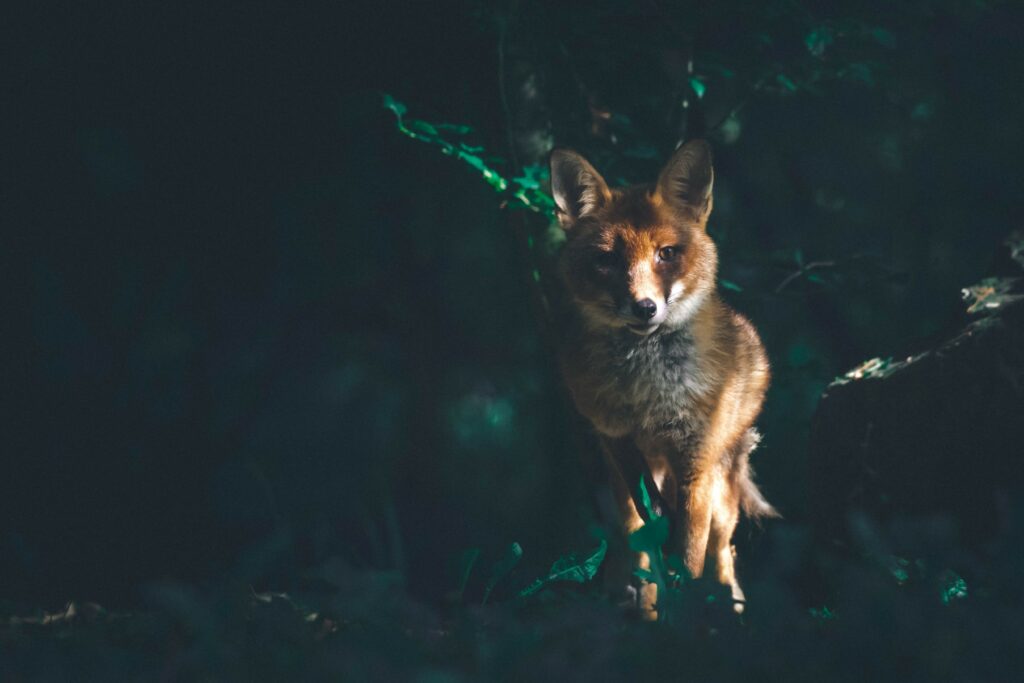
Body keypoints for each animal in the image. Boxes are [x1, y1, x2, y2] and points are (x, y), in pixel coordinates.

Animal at [549, 139, 776, 616]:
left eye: (667, 253)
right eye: (606, 260)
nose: (645, 308)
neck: (649, 394)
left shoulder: (695, 459)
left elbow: (689, 556)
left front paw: (687, 618)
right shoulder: (617, 440)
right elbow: (644, 534)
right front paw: (651, 608)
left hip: (721, 490)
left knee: (722, 555)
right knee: (634, 536)